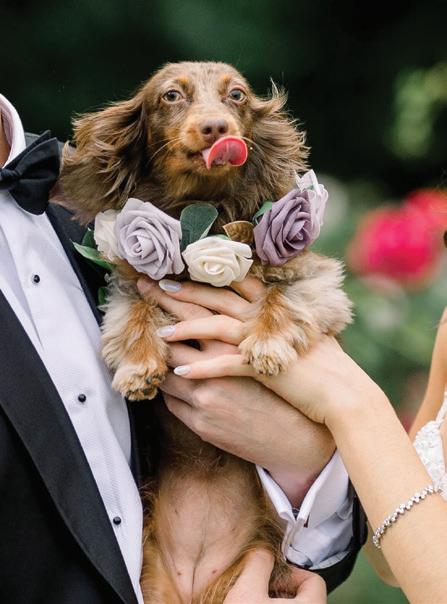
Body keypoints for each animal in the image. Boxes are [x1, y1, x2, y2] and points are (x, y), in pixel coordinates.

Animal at [60, 61, 352, 603]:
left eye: (236, 95)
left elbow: (282, 298)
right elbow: (134, 311)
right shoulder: (131, 285)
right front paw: (139, 367)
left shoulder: (315, 280)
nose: (217, 128)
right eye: (171, 96)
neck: (205, 210)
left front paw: (266, 344)